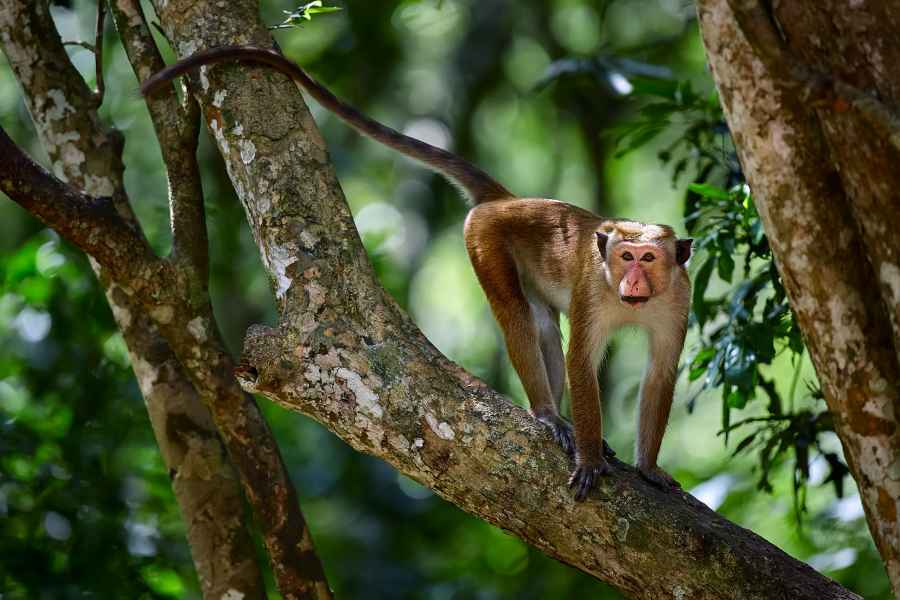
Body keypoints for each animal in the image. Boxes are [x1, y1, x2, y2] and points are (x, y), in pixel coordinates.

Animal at [142, 46, 692, 501]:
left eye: (648, 259)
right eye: (625, 257)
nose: (632, 280)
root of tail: (506, 200)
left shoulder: (676, 299)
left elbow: (659, 373)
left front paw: (648, 467)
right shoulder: (594, 290)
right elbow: (582, 361)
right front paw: (591, 457)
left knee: (539, 324)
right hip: (484, 239)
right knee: (521, 317)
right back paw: (549, 415)